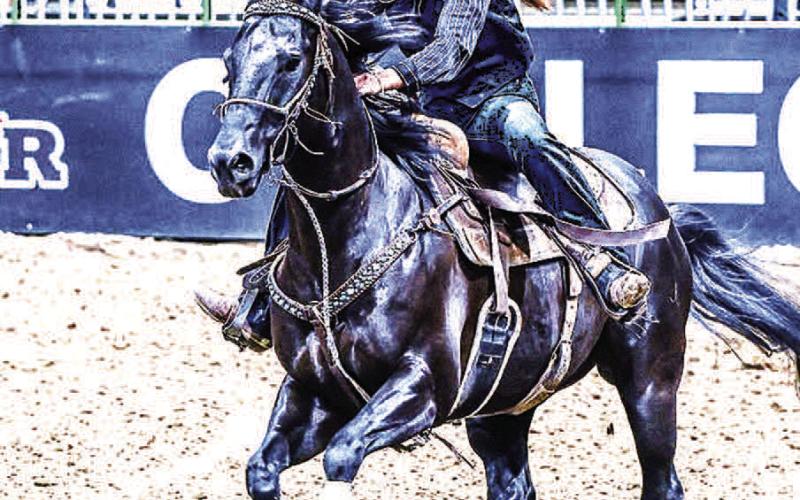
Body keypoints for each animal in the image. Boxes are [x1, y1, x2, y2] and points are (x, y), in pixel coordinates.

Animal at [206, 0, 800, 498]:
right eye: (229, 62)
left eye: (292, 60)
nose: (229, 161)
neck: (350, 237)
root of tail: (661, 209)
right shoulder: (314, 390)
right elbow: (262, 469)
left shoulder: (425, 386)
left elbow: (342, 457)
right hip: (503, 406)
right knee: (514, 482)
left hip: (650, 380)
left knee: (662, 479)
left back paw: (617, 278)